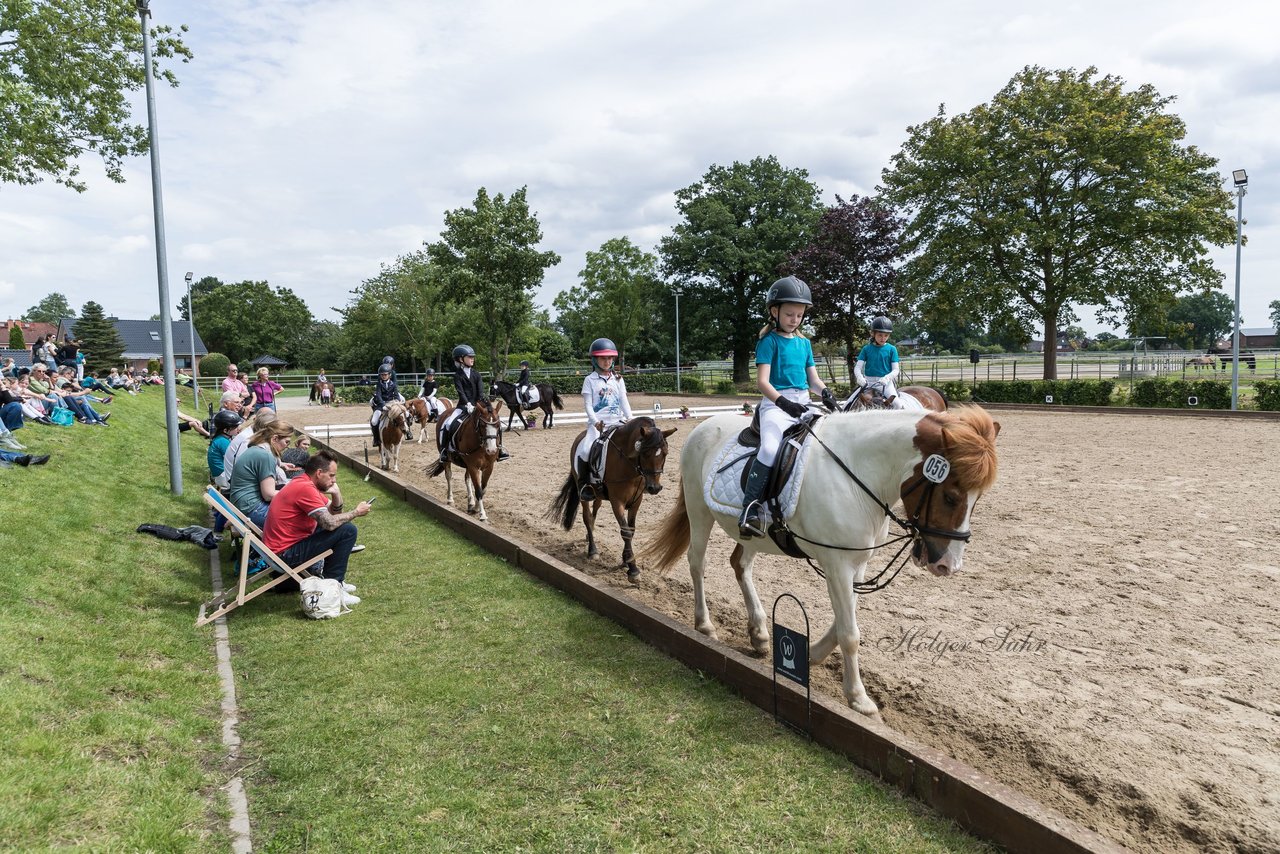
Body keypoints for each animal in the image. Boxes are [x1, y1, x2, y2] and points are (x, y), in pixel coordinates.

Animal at [545, 419, 675, 583]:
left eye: (665, 453)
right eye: (645, 453)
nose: (654, 488)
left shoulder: (636, 501)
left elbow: (631, 530)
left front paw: (626, 559)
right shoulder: (617, 502)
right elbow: (625, 532)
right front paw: (633, 569)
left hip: (599, 495)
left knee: (595, 511)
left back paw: (589, 536)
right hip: (583, 492)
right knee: (587, 517)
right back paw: (592, 550)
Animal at [640, 407, 998, 717]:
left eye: (978, 499)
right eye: (950, 496)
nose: (947, 565)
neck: (858, 472)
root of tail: (703, 426)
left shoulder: (857, 564)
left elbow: (843, 622)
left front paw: (810, 655)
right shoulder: (837, 564)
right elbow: (850, 633)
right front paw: (858, 698)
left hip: (753, 535)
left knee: (740, 565)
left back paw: (759, 632)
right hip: (698, 511)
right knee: (697, 563)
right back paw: (705, 625)